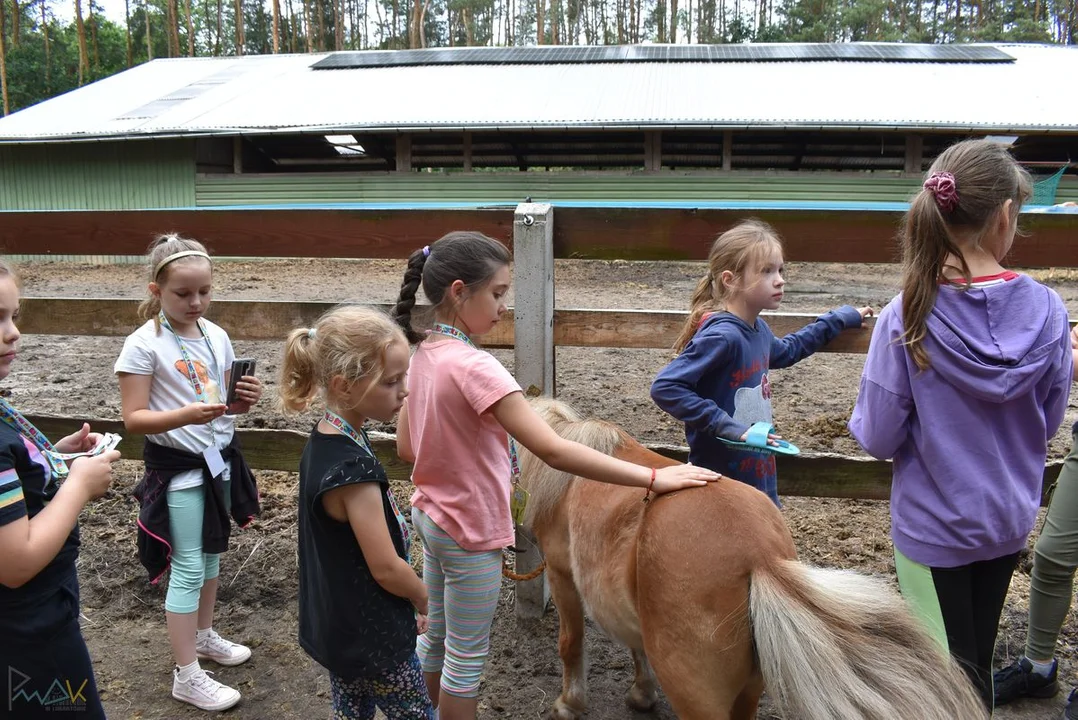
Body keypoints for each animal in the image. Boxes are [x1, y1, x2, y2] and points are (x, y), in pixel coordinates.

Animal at [517, 398, 987, 719]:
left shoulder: (561, 575)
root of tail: (761, 557)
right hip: (748, 689)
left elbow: (571, 643)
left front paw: (569, 703)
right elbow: (635, 646)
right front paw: (641, 695)